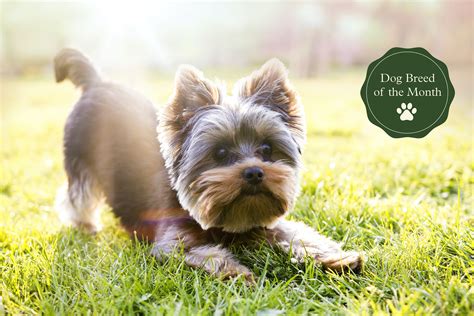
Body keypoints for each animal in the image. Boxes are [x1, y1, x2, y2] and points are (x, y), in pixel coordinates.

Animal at [53, 48, 362, 280]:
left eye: (266, 149)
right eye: (220, 153)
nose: (254, 172)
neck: (227, 222)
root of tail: (96, 82)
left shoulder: (266, 222)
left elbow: (299, 235)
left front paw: (336, 258)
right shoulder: (171, 243)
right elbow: (206, 254)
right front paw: (236, 272)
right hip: (79, 157)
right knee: (77, 194)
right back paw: (85, 224)